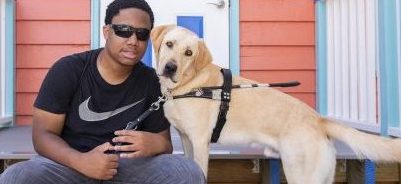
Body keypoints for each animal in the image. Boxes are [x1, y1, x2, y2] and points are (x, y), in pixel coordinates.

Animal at [148, 24, 400, 184]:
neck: (188, 85)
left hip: (301, 173)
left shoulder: (200, 141)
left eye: (189, 53)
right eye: (169, 44)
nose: (170, 67)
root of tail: (319, 119)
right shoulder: (186, 138)